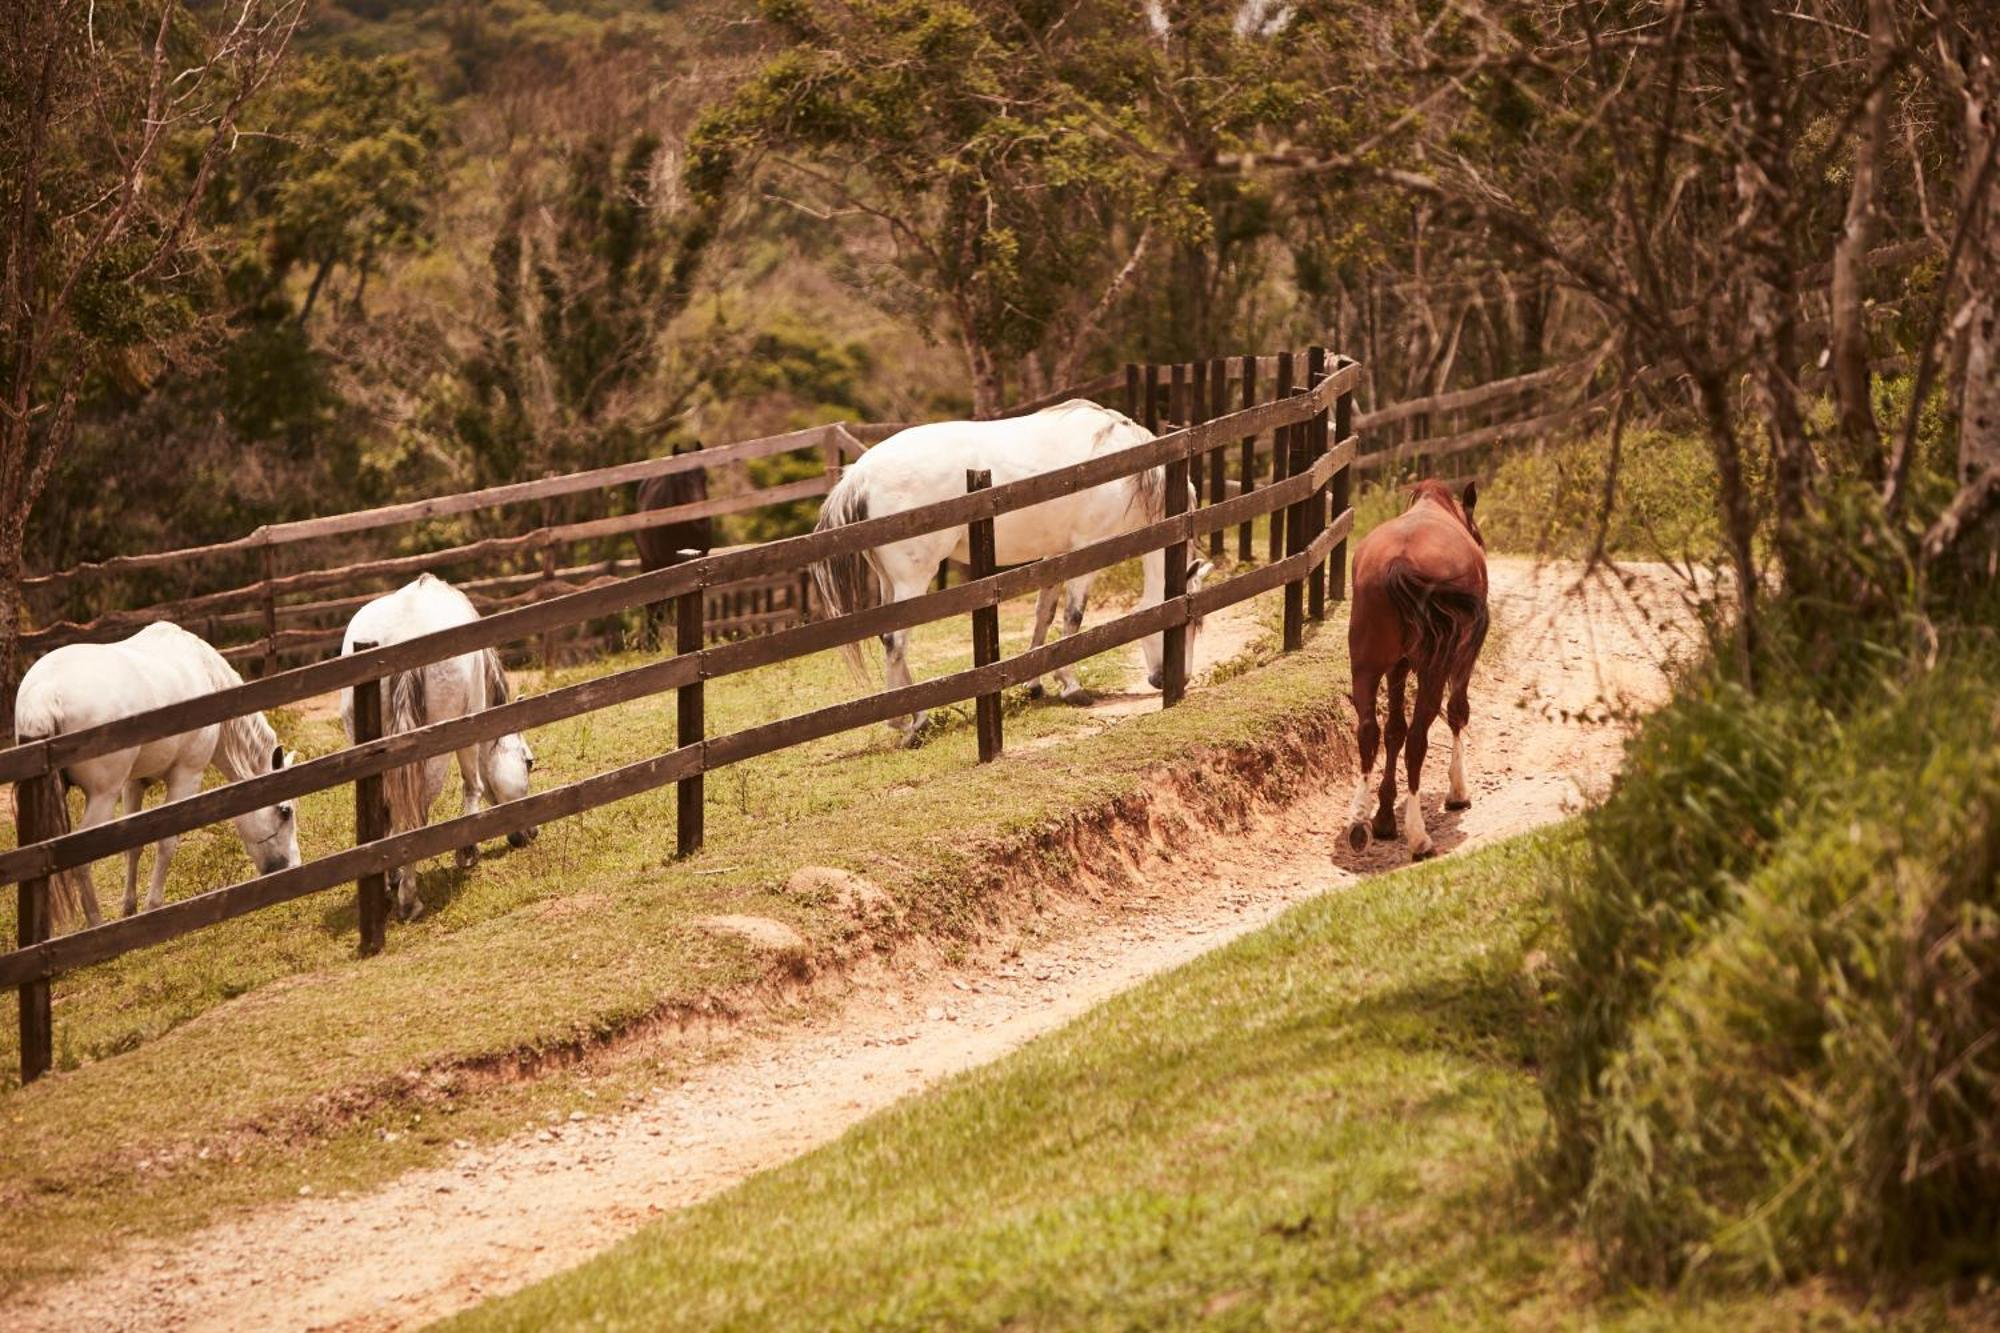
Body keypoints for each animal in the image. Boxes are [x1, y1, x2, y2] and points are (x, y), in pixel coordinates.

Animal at [13, 616, 302, 920]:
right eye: (285, 812)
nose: (293, 867)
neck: (205, 675)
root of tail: (46, 692)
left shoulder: (134, 784)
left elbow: (134, 845)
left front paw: (129, 908)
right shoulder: (185, 777)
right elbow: (166, 842)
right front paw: (153, 906)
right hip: (103, 797)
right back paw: (95, 922)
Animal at [338, 564, 540, 920]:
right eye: (528, 762)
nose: (531, 834)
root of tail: (403, 638)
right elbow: (472, 787)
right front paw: (468, 852)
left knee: (389, 809)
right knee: (418, 812)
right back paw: (409, 900)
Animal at [804, 400, 1208, 740]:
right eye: (1188, 624)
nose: (1176, 679)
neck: (1124, 464)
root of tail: (860, 475)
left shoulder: (1055, 555)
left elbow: (1044, 614)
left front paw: (1036, 684)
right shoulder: (1086, 551)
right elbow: (1073, 617)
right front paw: (1072, 687)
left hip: (890, 582)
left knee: (887, 637)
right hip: (912, 580)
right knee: (896, 641)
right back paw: (912, 723)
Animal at [1344, 478, 1488, 860]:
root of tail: (1398, 563)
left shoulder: (1397, 666)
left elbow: (1393, 730)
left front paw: (1383, 817)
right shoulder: (1462, 657)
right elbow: (1457, 712)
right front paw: (1458, 791)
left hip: (1365, 666)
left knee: (1369, 731)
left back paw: (1359, 822)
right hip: (1434, 667)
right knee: (1418, 740)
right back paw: (1418, 836)